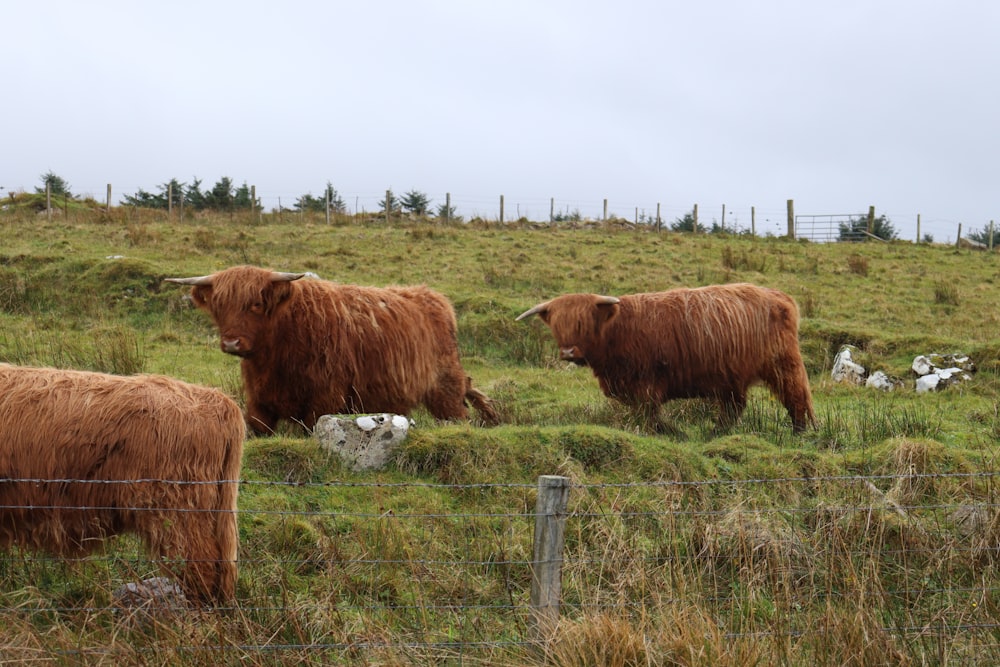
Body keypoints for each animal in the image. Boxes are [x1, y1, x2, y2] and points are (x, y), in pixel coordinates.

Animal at [168, 264, 504, 434]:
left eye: (256, 304)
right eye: (219, 306)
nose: (231, 342)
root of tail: (433, 297)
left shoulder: (324, 398)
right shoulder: (258, 399)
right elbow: (259, 427)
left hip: (445, 388)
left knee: (458, 414)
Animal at [520, 284, 816, 436]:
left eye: (582, 323)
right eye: (557, 326)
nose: (568, 352)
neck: (618, 331)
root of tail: (781, 296)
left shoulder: (646, 382)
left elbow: (647, 412)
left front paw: (657, 430)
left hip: (782, 363)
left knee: (796, 394)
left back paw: (799, 431)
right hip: (731, 376)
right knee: (734, 406)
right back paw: (716, 431)